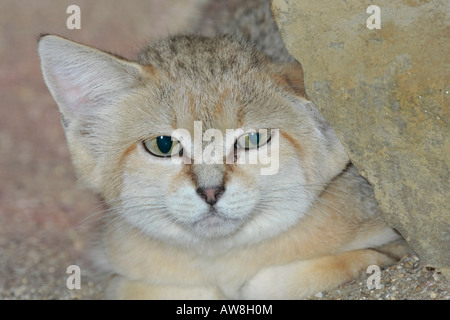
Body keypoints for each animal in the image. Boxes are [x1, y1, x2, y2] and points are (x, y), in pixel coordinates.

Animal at [37, 1, 406, 300]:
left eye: (253, 139)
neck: (224, 261)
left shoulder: (390, 245)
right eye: (163, 145)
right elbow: (133, 287)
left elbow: (274, 281)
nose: (211, 192)